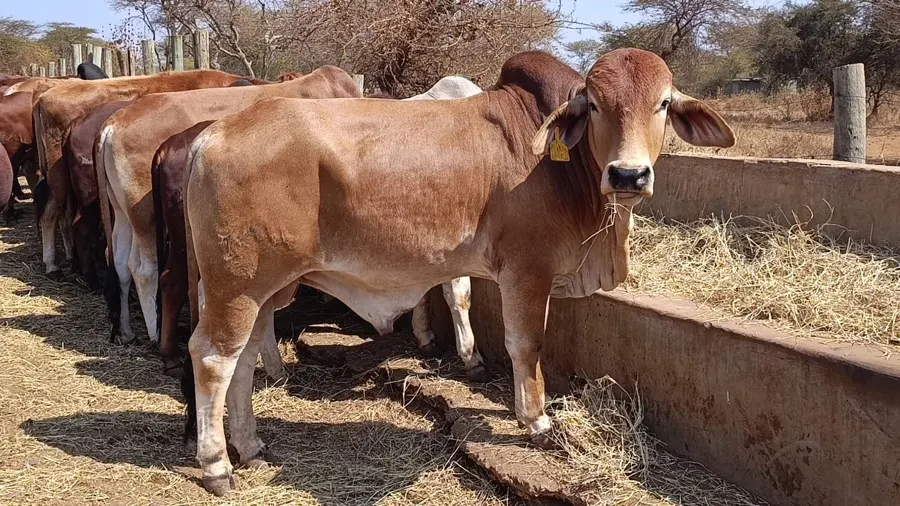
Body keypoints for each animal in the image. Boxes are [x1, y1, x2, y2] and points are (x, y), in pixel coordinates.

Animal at [96, 66, 361, 351]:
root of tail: (113, 124)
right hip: (145, 216)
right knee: (145, 269)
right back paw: (155, 334)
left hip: (123, 212)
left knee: (119, 260)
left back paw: (126, 330)